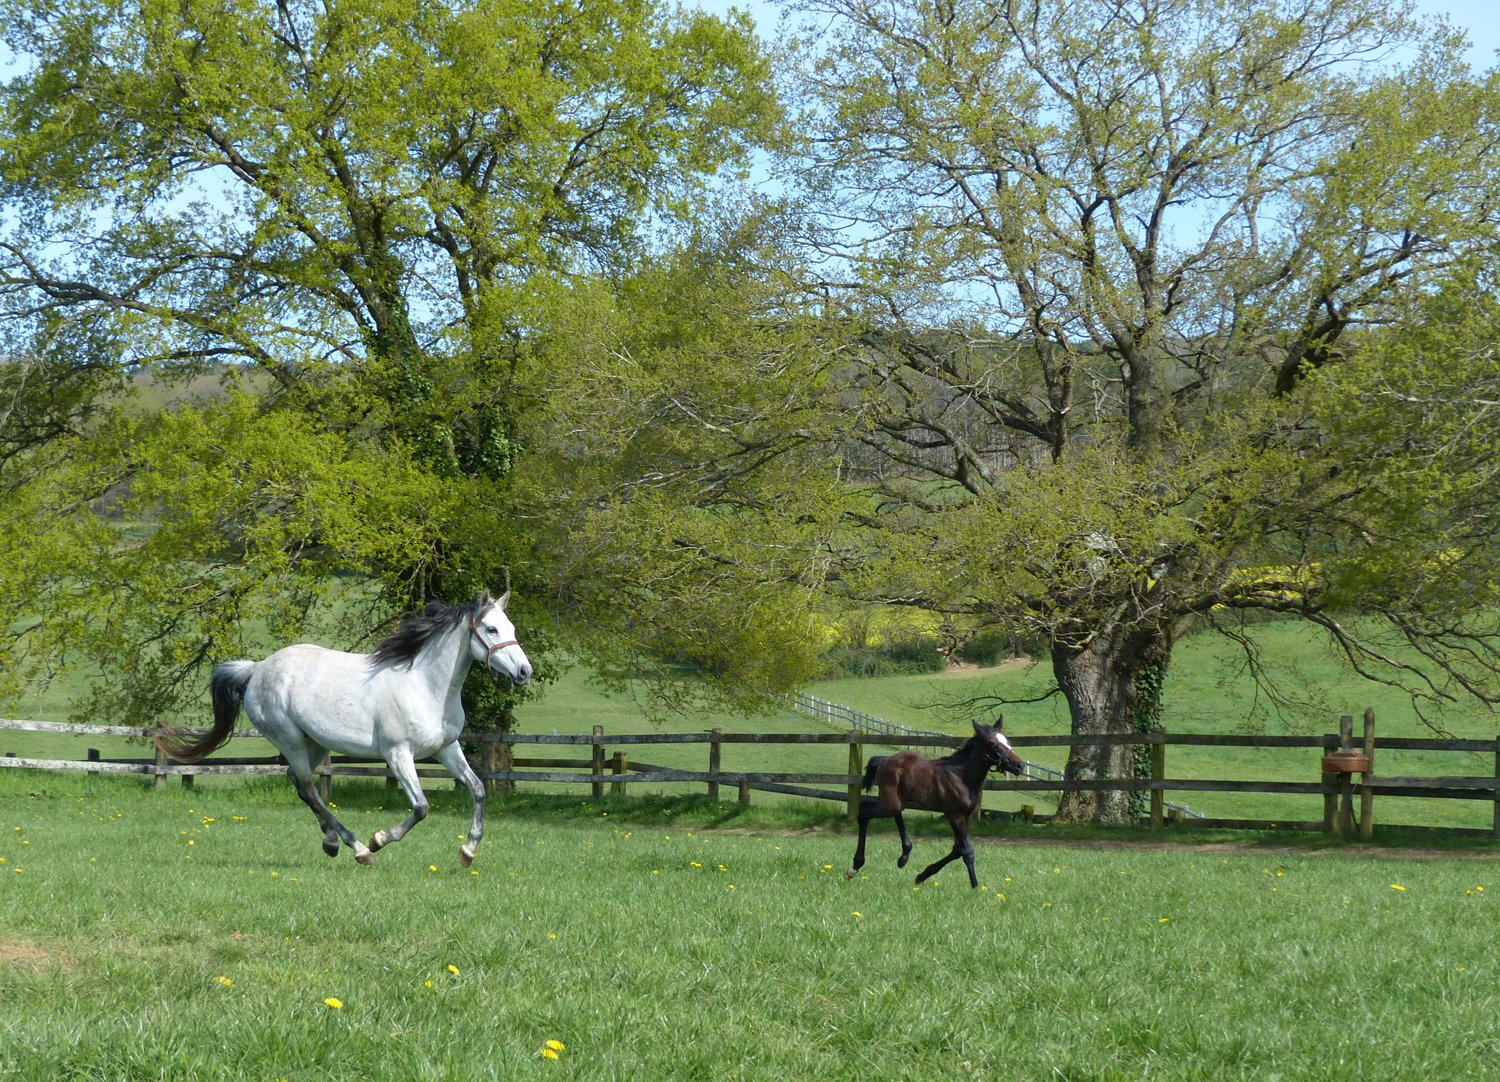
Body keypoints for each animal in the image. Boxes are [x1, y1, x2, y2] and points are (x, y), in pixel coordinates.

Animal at [154, 590, 531, 867]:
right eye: (492, 630)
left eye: (511, 628)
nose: (524, 672)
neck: (424, 686)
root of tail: (257, 668)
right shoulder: (398, 754)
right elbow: (421, 807)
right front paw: (379, 841)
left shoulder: (446, 747)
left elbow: (478, 789)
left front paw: (468, 852)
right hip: (290, 739)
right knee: (308, 787)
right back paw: (358, 848)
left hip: (315, 742)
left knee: (299, 784)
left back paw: (331, 841)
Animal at [845, 719, 1025, 889]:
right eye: (992, 743)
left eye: (1007, 741)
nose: (1020, 765)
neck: (961, 777)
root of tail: (884, 760)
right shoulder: (954, 814)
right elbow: (966, 851)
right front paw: (976, 887)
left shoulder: (966, 816)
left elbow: (957, 850)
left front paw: (921, 876)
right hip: (892, 802)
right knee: (864, 811)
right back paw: (854, 867)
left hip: (897, 800)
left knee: (888, 812)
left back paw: (903, 857)